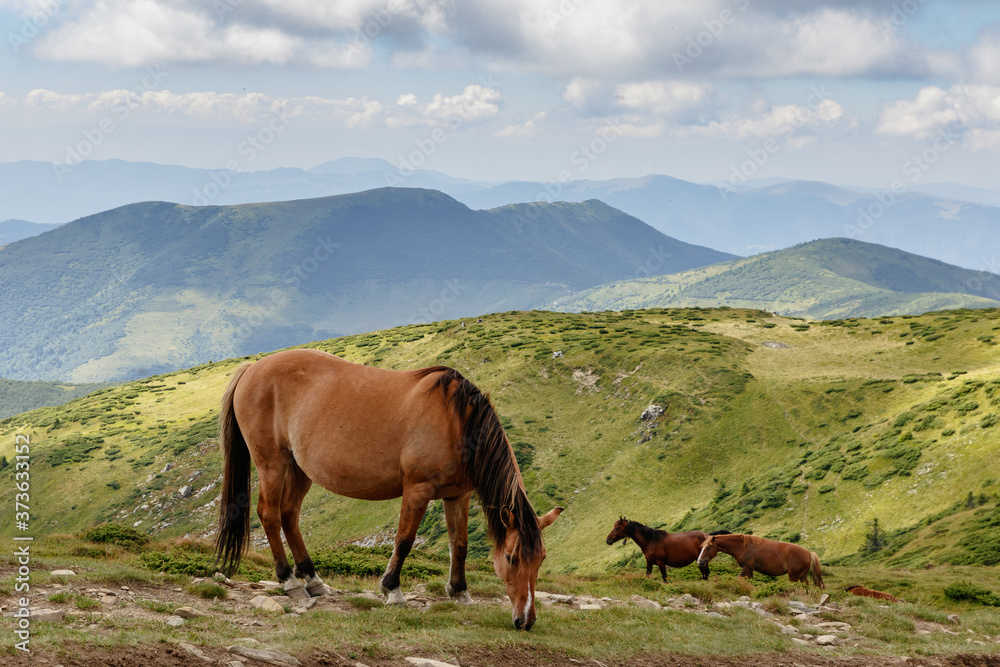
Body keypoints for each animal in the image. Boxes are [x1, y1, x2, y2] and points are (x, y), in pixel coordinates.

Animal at [213, 348, 563, 630]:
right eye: (512, 558)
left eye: (541, 559)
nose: (526, 620)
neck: (457, 422)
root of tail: (253, 368)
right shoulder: (418, 490)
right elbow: (404, 540)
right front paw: (392, 589)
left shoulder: (456, 496)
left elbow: (459, 544)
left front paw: (460, 591)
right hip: (272, 464)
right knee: (270, 514)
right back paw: (290, 581)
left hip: (299, 470)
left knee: (289, 515)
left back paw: (314, 580)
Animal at [696, 533, 824, 588]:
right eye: (702, 547)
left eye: (708, 548)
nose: (700, 562)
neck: (743, 546)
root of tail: (809, 553)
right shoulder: (750, 570)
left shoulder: (746, 568)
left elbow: (738, 578)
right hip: (802, 576)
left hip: (793, 577)